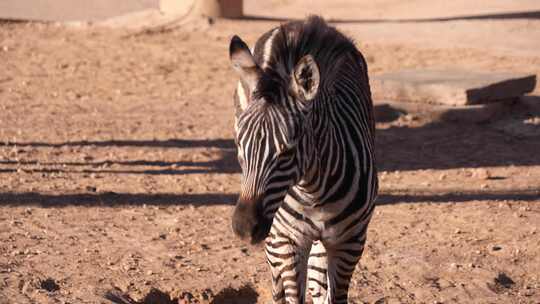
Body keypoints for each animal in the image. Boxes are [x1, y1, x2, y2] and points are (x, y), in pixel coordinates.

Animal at [230, 16, 378, 304]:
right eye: (239, 145)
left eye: (287, 151)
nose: (243, 227)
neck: (315, 193)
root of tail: (303, 23)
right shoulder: (286, 239)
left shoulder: (350, 242)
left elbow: (334, 295)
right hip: (275, 234)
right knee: (278, 284)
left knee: (318, 283)